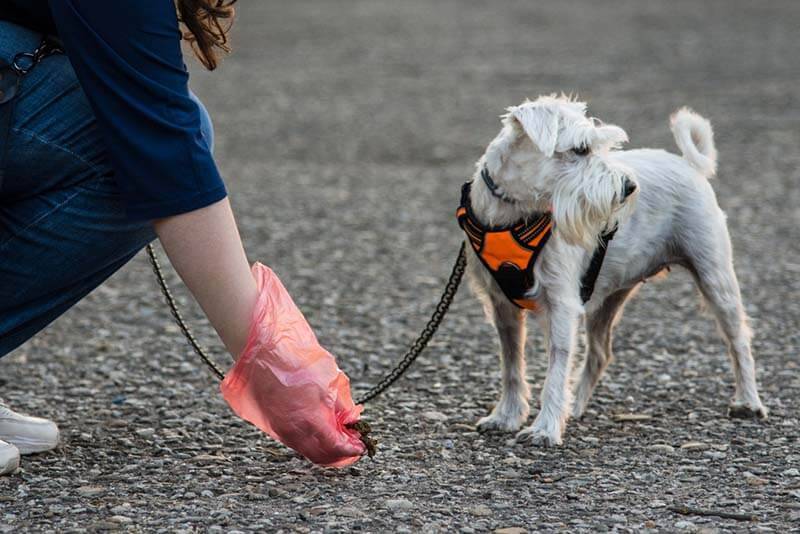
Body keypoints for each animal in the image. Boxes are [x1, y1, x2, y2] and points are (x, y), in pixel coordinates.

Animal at [466, 95, 764, 448]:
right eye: (581, 149)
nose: (629, 186)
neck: (516, 212)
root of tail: (687, 164)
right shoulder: (502, 307)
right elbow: (511, 364)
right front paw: (507, 416)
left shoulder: (562, 305)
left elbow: (556, 369)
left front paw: (545, 428)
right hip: (606, 301)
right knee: (599, 354)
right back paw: (574, 407)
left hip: (716, 278)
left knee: (738, 340)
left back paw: (748, 402)